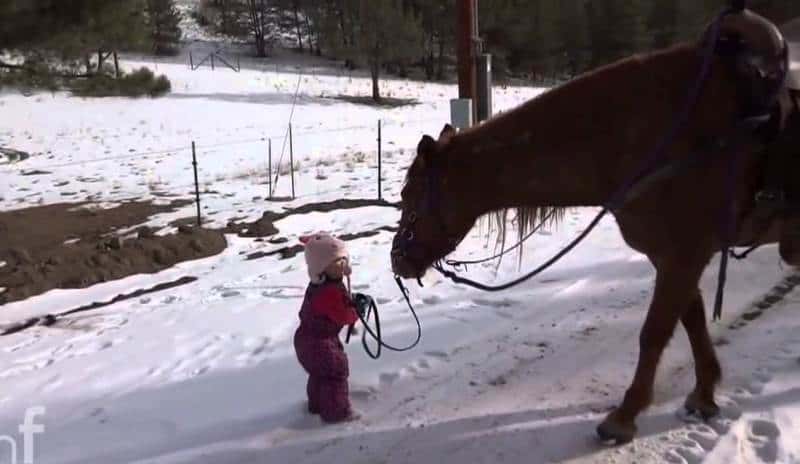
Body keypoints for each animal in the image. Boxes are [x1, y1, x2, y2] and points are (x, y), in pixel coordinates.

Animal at [390, 11, 792, 446]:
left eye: (409, 194)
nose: (397, 259)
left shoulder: (684, 255)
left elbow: (654, 332)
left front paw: (624, 416)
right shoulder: (673, 257)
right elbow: (693, 323)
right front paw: (703, 395)